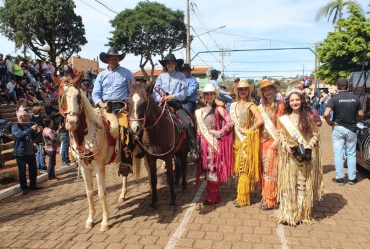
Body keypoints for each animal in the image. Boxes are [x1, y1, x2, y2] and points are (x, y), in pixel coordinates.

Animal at [50, 74, 140, 231]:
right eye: (62, 96)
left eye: (78, 96)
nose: (72, 122)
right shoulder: (84, 168)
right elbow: (89, 193)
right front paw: (90, 220)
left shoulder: (99, 167)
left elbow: (101, 193)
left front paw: (105, 222)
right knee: (125, 173)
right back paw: (122, 195)